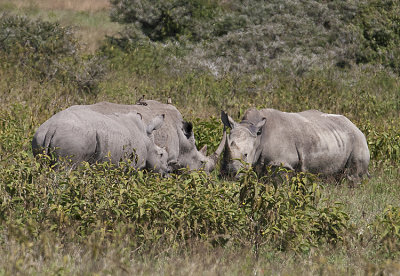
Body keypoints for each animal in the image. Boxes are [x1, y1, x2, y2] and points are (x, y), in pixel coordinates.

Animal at [31, 104, 169, 174]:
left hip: (40, 136)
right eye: (161, 154)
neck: (147, 141)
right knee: (65, 169)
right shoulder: (133, 166)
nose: (168, 172)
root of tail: (52, 128)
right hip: (73, 138)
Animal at [220, 108, 370, 183]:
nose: (229, 174)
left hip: (357, 140)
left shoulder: (282, 162)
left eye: (245, 155)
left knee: (352, 175)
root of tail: (355, 125)